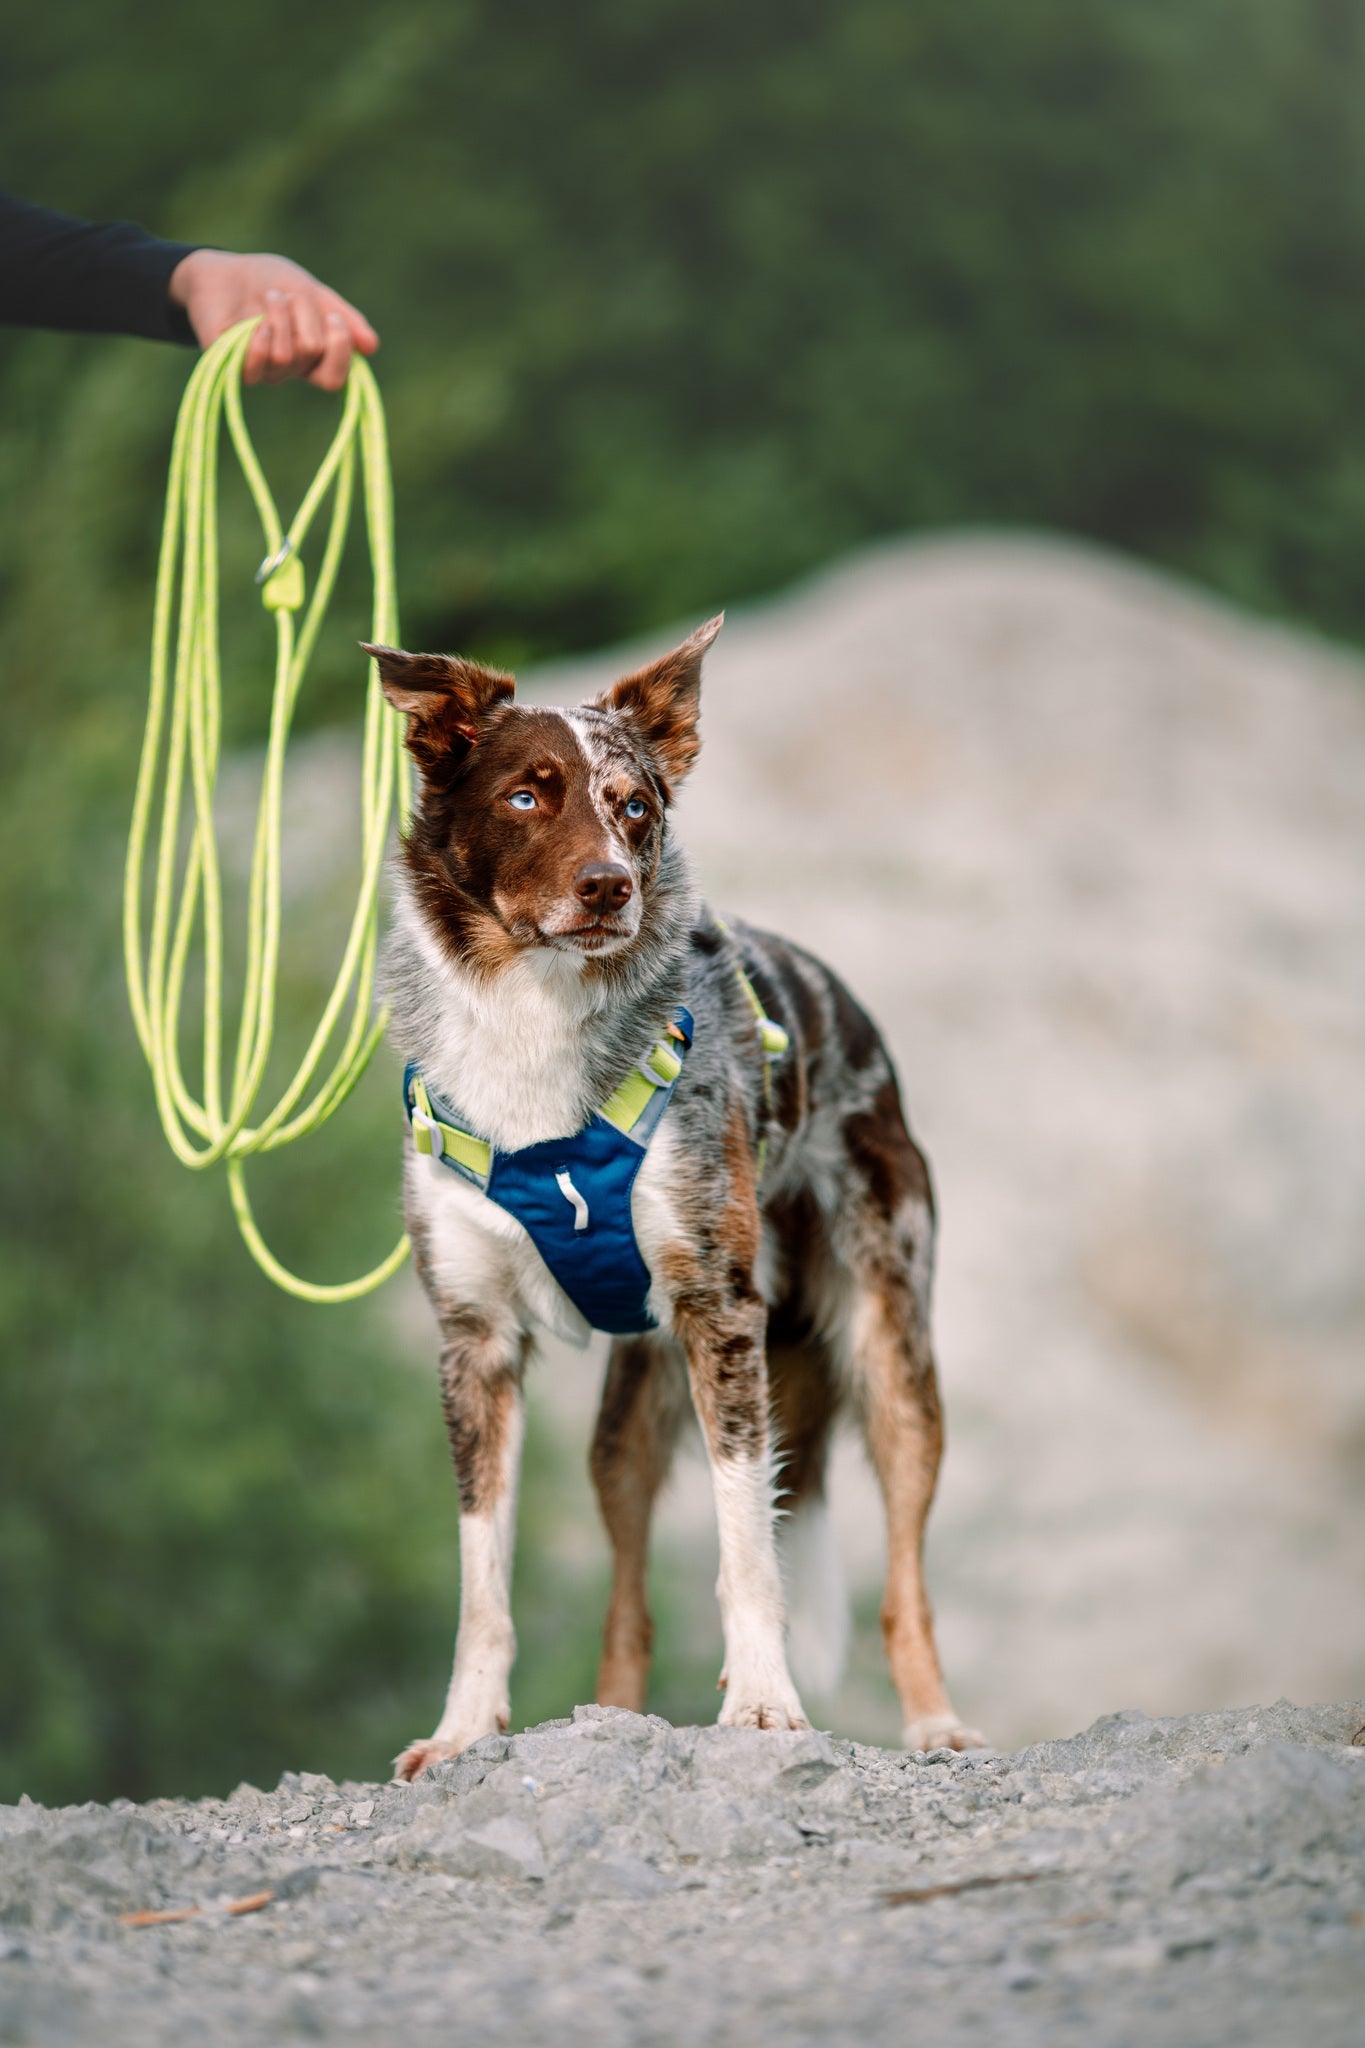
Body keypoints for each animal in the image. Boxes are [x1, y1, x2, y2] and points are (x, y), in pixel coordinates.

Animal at [362, 610, 982, 1777]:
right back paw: (615, 1715)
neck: (536, 1028)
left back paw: (935, 1721)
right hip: (626, 1428)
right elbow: (482, 1582)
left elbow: (748, 1543)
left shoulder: (720, 1316)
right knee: (627, 1605)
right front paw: (462, 1731)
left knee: (904, 1580)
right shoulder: (474, 1343)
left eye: (634, 804)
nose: (612, 884)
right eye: (527, 796)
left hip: (892, 1360)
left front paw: (766, 1704)